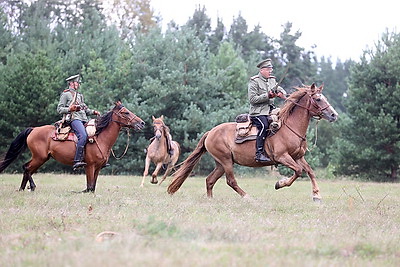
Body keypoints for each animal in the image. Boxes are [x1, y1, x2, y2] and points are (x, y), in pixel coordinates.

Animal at [0, 101, 146, 193]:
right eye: (126, 112)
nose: (142, 123)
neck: (99, 136)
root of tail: (33, 129)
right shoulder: (89, 166)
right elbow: (89, 187)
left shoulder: (98, 167)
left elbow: (93, 187)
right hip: (39, 157)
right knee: (26, 168)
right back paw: (32, 186)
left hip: (41, 158)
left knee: (27, 169)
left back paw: (22, 189)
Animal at [167, 84, 340, 201]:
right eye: (318, 98)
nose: (334, 115)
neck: (289, 127)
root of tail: (211, 132)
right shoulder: (283, 157)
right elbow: (298, 171)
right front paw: (279, 183)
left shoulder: (298, 157)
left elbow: (310, 171)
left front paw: (316, 195)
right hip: (226, 161)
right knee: (231, 181)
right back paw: (247, 197)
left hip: (221, 163)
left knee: (210, 180)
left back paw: (211, 199)